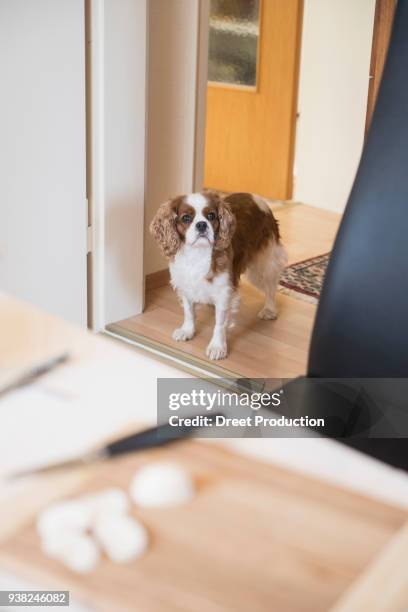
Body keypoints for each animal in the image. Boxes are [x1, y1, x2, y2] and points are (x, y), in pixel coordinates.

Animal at [150, 192, 286, 358]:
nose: (201, 225)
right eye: (186, 218)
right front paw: (187, 331)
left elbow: (220, 323)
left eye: (211, 215)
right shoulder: (185, 284)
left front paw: (217, 346)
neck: (197, 253)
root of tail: (255, 197)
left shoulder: (224, 292)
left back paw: (270, 310)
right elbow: (188, 312)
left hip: (264, 264)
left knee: (271, 287)